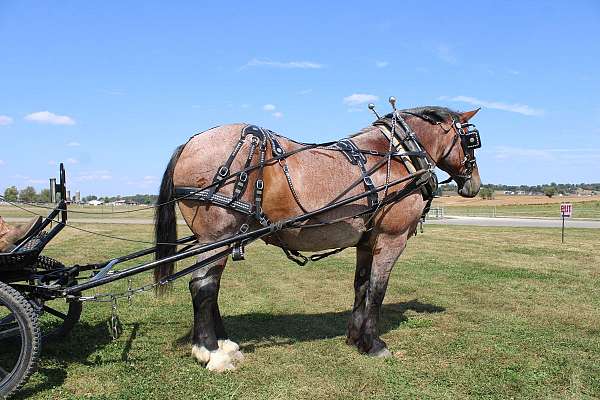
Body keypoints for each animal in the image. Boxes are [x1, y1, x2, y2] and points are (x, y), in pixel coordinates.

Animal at [154, 105, 482, 372]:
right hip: (217, 237)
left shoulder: (366, 242)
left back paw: (224, 342)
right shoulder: (391, 239)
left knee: (211, 286)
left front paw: (355, 338)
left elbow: (361, 286)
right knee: (202, 286)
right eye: (472, 140)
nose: (474, 185)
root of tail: (190, 143)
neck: (399, 156)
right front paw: (374, 344)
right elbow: (378, 290)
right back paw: (211, 352)